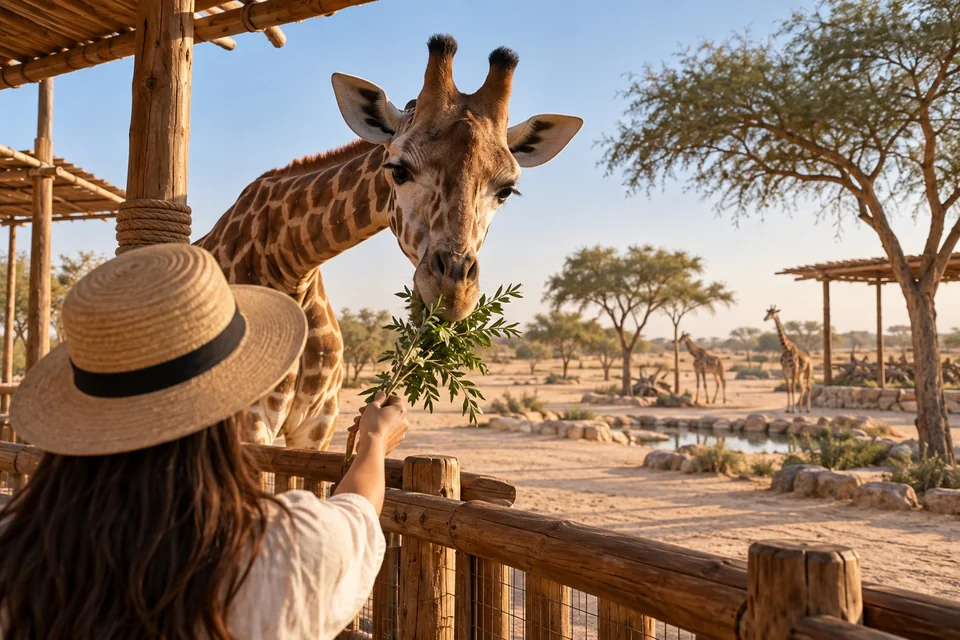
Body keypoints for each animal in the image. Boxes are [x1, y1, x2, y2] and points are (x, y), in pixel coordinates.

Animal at [196, 35, 582, 450]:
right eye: (398, 170)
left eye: (507, 190)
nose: (453, 292)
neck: (289, 263)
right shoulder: (249, 424)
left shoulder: (318, 422)